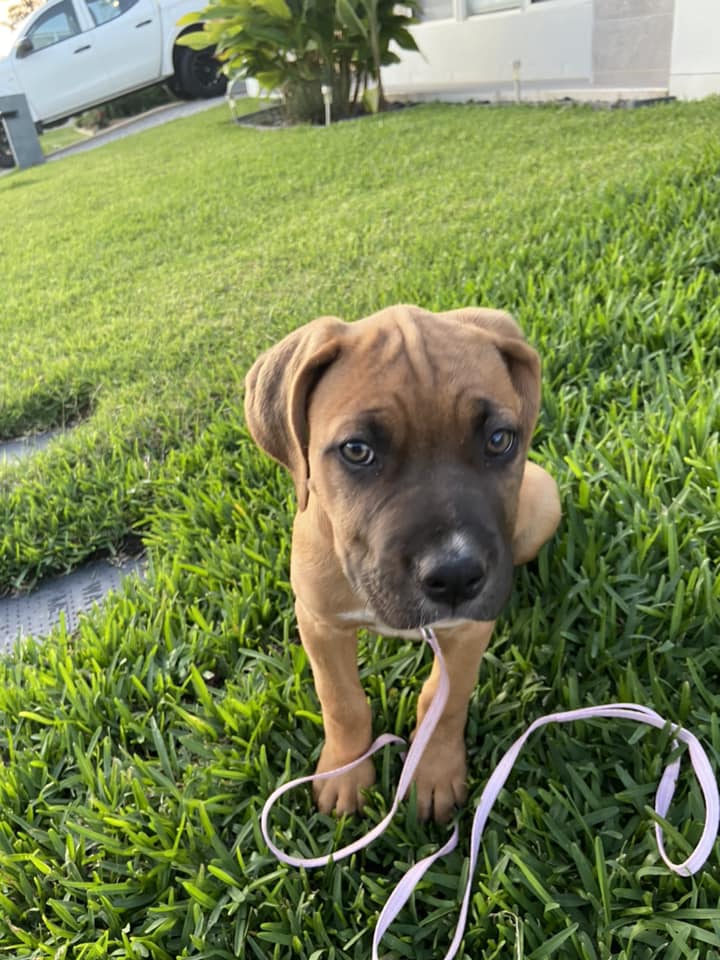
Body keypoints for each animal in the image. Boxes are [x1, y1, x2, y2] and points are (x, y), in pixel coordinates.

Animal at [244, 305, 561, 822]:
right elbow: (341, 701)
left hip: (544, 504)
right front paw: (345, 772)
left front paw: (432, 771)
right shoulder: (318, 622)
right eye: (357, 450)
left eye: (499, 440)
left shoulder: (467, 629)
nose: (456, 577)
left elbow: (444, 699)